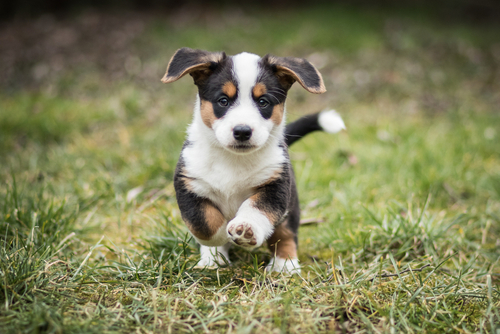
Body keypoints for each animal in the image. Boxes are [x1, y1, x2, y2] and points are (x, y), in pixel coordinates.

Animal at [162, 47, 346, 274]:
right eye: (223, 101)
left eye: (263, 102)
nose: (242, 131)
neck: (234, 159)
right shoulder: (189, 185)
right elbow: (204, 223)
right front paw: (223, 238)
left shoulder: (275, 186)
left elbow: (256, 209)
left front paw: (245, 230)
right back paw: (213, 260)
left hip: (291, 205)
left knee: (286, 234)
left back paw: (285, 264)